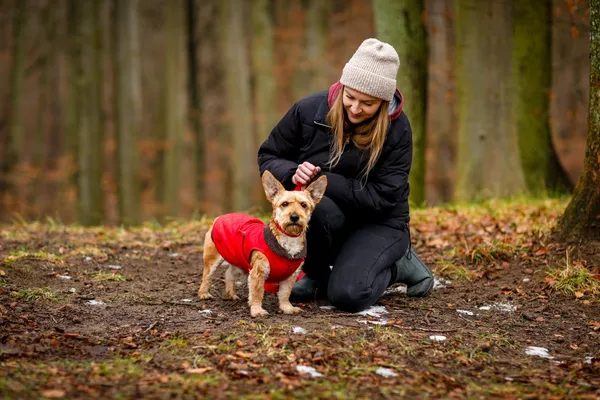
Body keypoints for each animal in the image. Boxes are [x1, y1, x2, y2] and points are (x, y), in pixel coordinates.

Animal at [197, 170, 326, 318]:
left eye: (304, 205)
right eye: (285, 204)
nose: (294, 217)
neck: (288, 239)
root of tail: (220, 216)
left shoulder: (291, 276)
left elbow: (285, 293)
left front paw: (287, 308)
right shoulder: (258, 271)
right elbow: (257, 293)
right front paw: (257, 310)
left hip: (239, 262)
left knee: (229, 274)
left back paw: (231, 294)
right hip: (213, 258)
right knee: (207, 275)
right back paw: (204, 293)